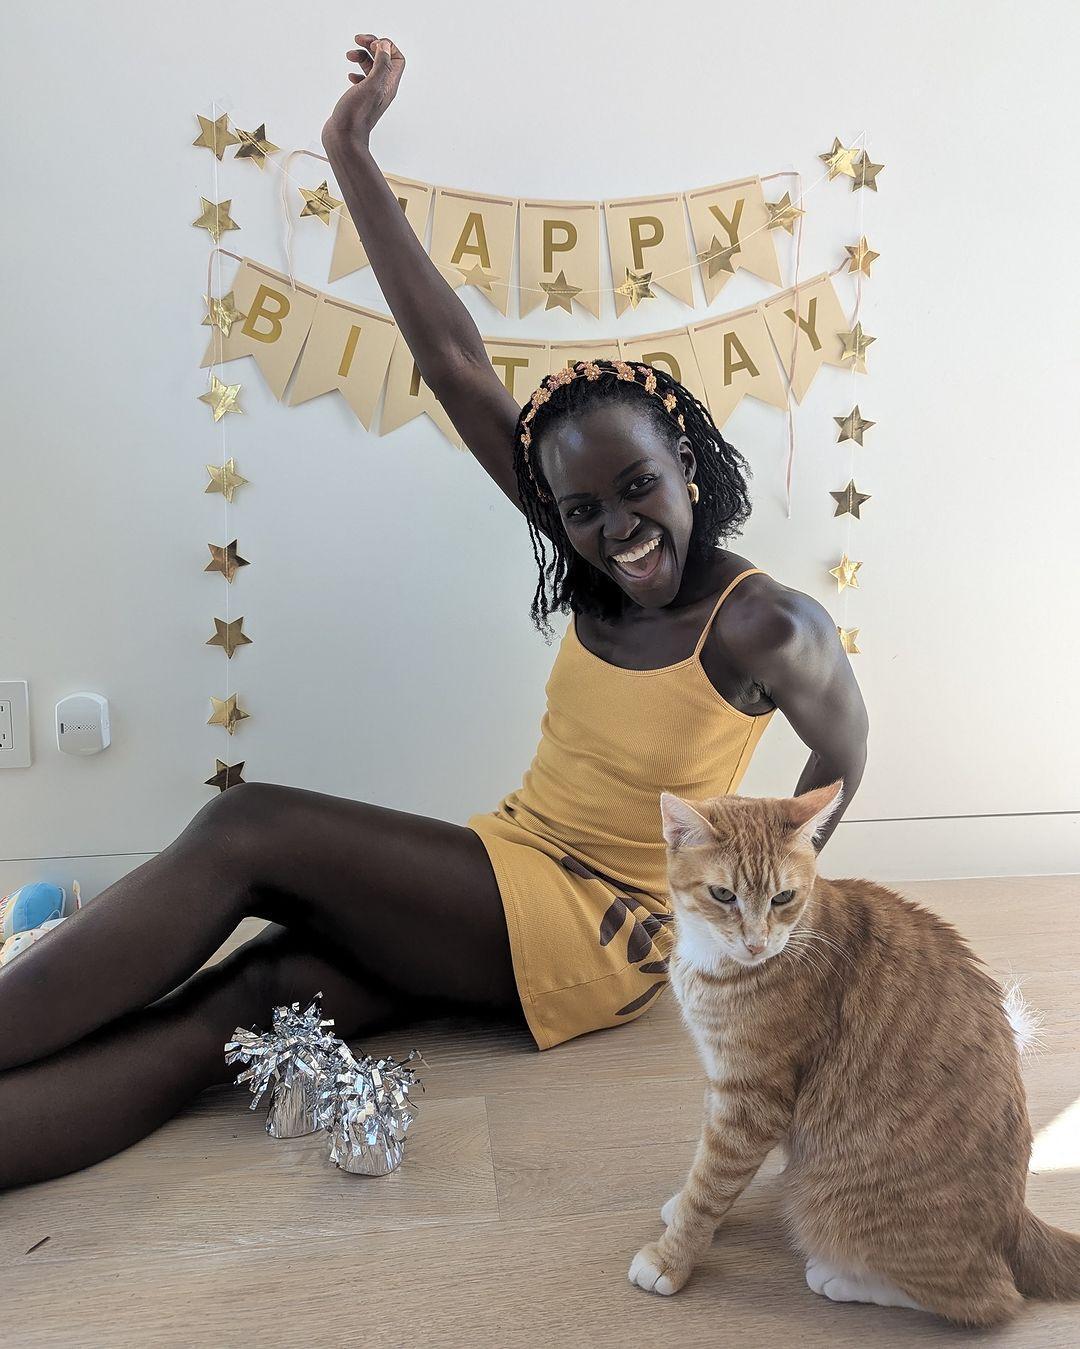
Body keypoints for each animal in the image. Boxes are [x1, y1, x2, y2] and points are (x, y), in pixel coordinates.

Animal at [622, 782, 1078, 1327]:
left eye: (782, 897)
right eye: (723, 895)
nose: (757, 944)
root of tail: (1016, 1222)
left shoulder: (754, 1100)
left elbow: (711, 1185)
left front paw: (672, 1257)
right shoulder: (723, 1079)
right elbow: (704, 1169)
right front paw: (682, 1202)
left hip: (834, 1206)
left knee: (987, 1301)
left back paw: (841, 1280)